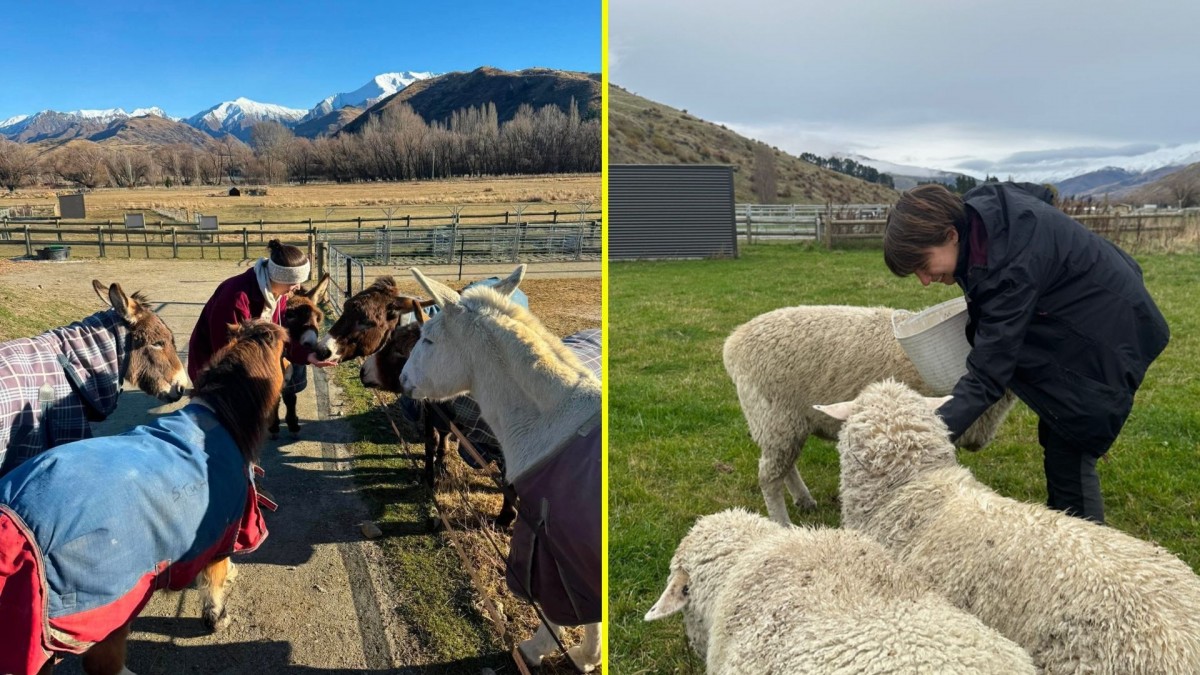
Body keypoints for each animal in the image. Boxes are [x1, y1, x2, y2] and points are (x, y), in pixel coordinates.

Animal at [0, 320, 284, 675]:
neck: (220, 417)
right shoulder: (225, 526)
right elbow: (214, 579)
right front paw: (217, 616)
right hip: (111, 606)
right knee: (102, 663)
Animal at [272, 273, 331, 437]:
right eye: (290, 315)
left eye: (318, 318)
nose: (311, 345)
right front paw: (274, 425)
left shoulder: (295, 373)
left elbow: (290, 397)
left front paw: (292, 424)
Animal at [400, 264, 602, 672]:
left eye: (427, 339)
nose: (403, 379)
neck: (556, 425)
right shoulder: (576, 561)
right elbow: (590, 614)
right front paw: (587, 657)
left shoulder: (548, 548)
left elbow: (557, 611)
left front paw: (535, 650)